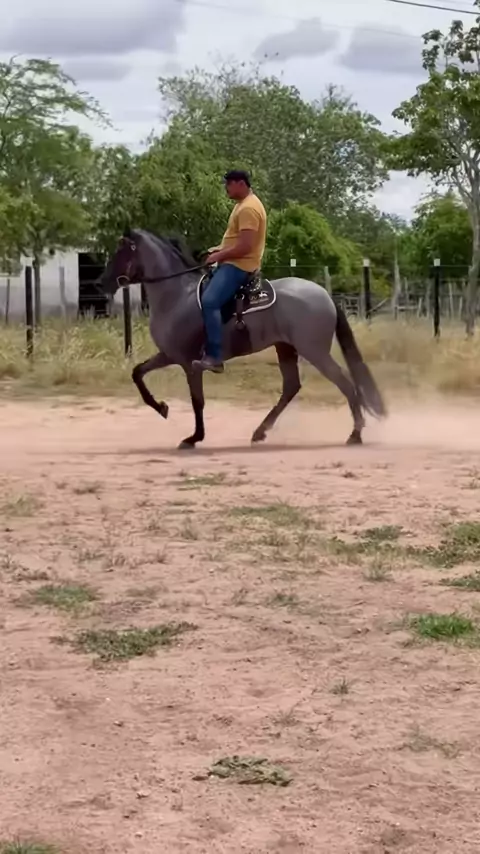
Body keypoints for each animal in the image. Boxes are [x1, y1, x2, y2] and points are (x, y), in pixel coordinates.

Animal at [98, 228, 386, 449]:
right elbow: (137, 373)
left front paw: (194, 438)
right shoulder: (169, 355)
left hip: (315, 351)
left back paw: (355, 434)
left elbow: (197, 400)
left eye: (122, 251)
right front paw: (161, 407)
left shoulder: (188, 362)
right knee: (291, 387)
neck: (178, 295)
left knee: (345, 383)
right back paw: (260, 432)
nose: (101, 283)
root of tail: (324, 295)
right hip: (286, 348)